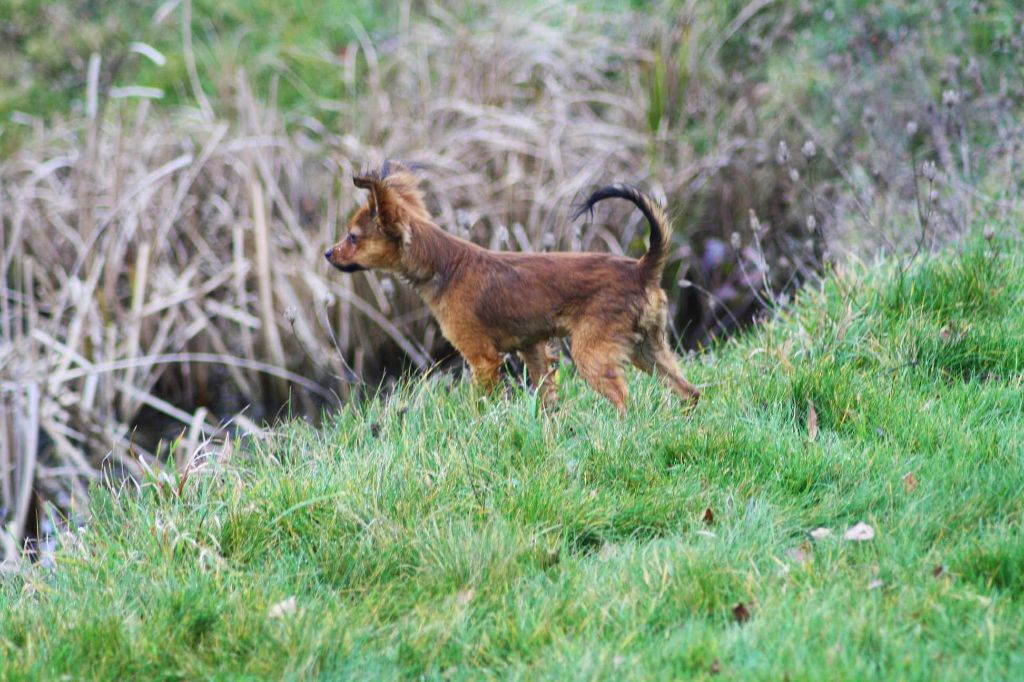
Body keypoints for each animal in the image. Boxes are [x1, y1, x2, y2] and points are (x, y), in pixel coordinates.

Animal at [323, 161, 700, 411]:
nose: (328, 253)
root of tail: (642, 268)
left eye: (352, 238)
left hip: (593, 353)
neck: (444, 265)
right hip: (648, 349)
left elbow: (479, 403)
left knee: (625, 401)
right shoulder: (533, 348)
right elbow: (547, 396)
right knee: (689, 391)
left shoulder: (482, 358)